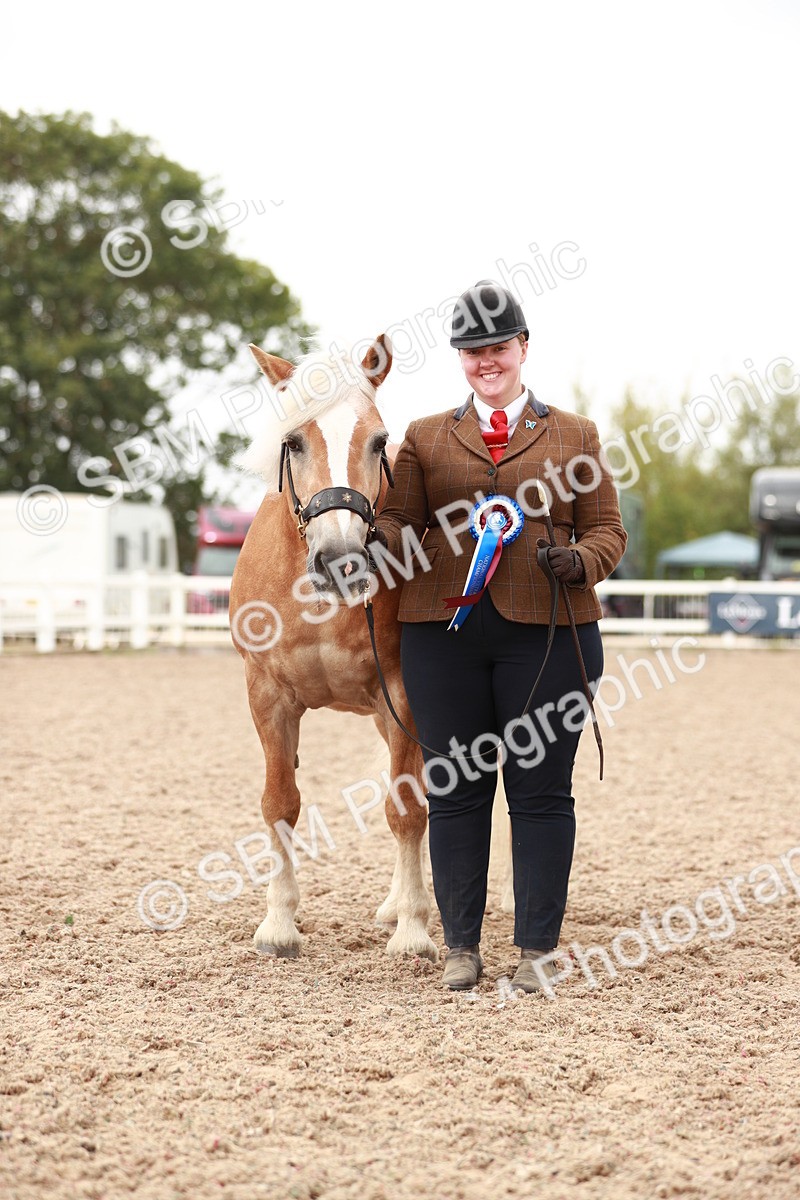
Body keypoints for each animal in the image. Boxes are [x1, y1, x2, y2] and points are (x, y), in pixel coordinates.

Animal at [230, 336, 442, 961]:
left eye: (378, 440)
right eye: (293, 441)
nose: (340, 560)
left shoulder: (403, 693)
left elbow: (406, 810)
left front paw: (414, 932)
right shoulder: (267, 695)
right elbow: (280, 804)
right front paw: (278, 925)